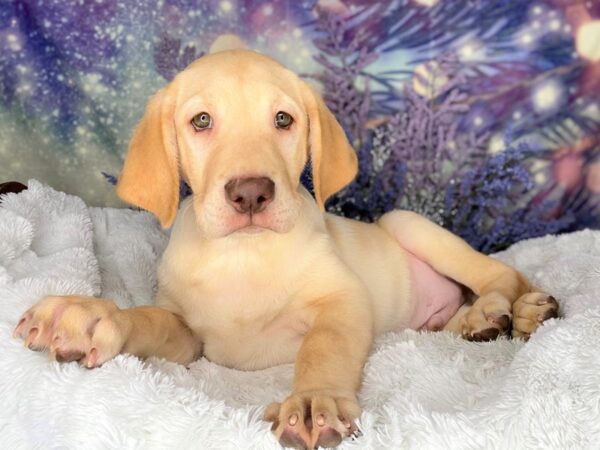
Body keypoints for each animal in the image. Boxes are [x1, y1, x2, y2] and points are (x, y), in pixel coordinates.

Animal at [14, 50, 556, 450]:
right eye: (201, 121)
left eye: (282, 119)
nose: (251, 193)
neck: (244, 256)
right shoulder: (189, 338)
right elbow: (149, 319)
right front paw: (89, 316)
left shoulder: (343, 300)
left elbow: (323, 348)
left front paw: (315, 401)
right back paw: (479, 323)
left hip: (407, 223)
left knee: (502, 276)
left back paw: (514, 310)